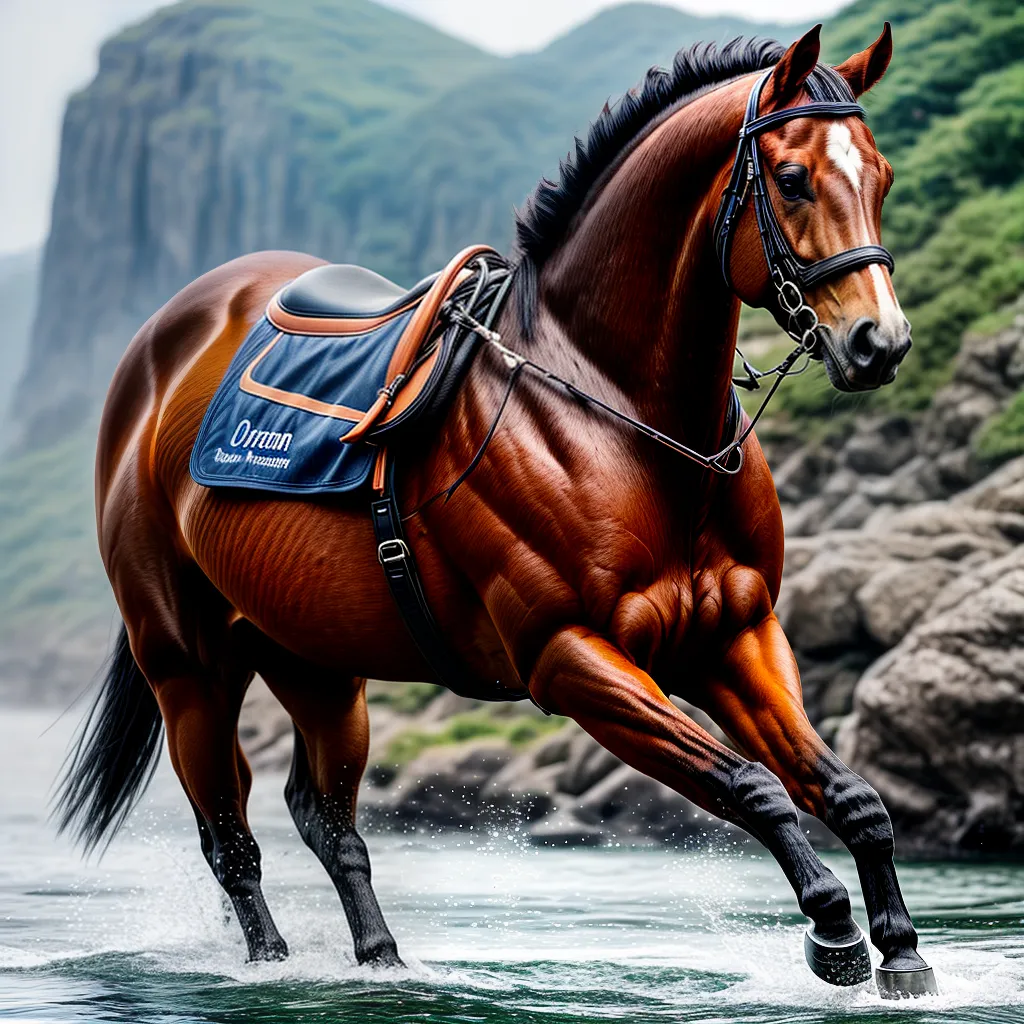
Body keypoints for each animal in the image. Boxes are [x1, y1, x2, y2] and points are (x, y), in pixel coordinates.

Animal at [57, 24, 936, 997]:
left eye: (882, 175)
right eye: (790, 177)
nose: (879, 343)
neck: (617, 416)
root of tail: (158, 357)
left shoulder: (733, 635)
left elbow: (848, 793)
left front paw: (900, 947)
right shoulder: (573, 661)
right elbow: (753, 788)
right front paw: (835, 932)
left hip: (316, 665)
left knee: (328, 823)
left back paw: (382, 961)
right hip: (190, 671)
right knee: (232, 842)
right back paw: (271, 964)